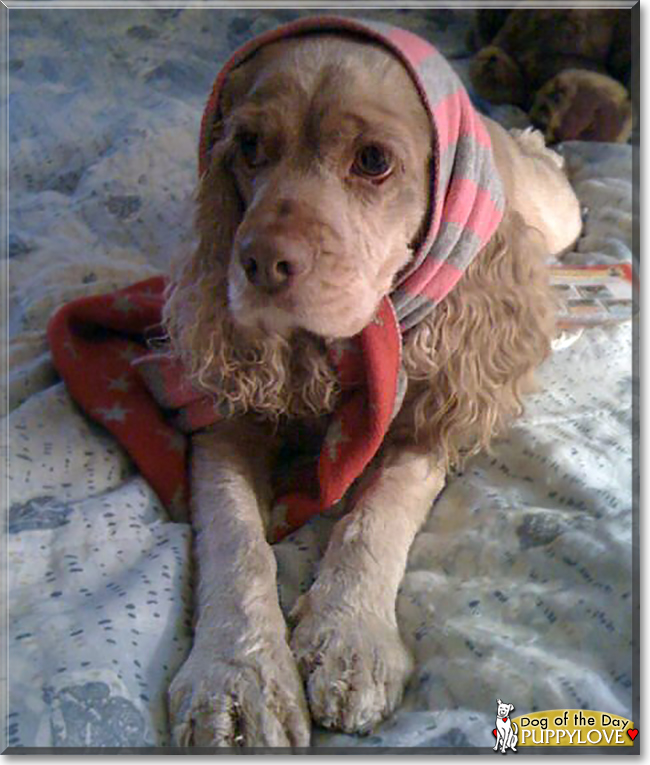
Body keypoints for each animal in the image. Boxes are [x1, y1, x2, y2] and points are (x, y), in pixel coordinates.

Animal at [159, 19, 580, 748]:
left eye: (374, 160)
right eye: (247, 146)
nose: (259, 263)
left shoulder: (434, 409)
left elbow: (378, 513)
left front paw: (351, 637)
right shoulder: (228, 419)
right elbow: (236, 541)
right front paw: (235, 675)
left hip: (559, 214)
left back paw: (536, 137)